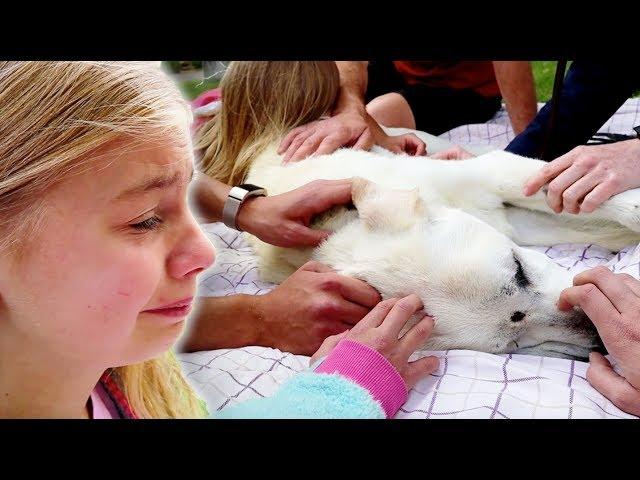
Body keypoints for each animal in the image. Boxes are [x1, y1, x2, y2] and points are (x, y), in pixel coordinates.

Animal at [242, 144, 640, 358]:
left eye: (519, 271)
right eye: (512, 344)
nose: (603, 337)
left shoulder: (492, 175)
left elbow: (614, 207)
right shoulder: (514, 221)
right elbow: (599, 229)